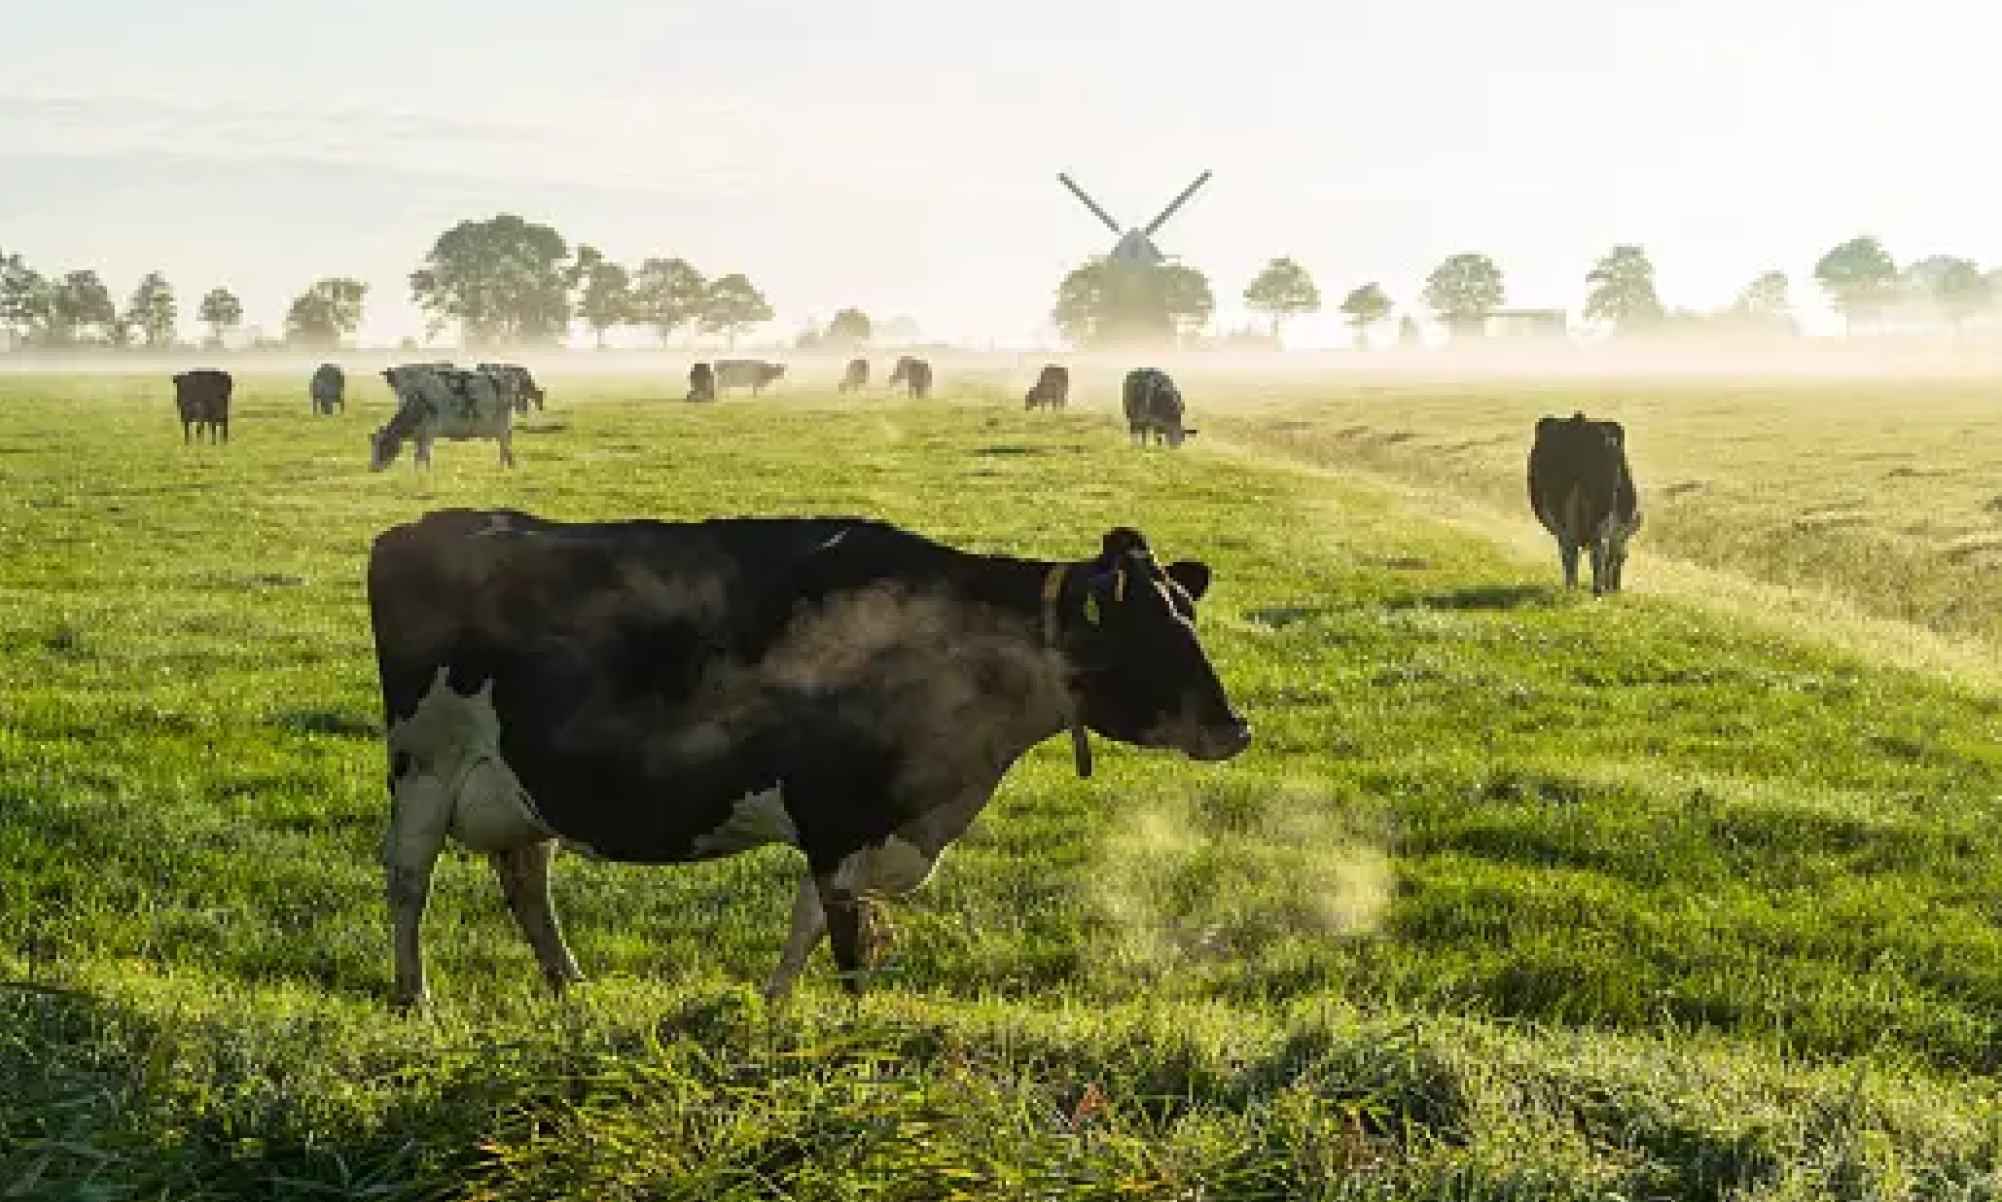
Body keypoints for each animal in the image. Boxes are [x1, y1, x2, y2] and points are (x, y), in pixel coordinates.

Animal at [368, 510, 1249, 1009]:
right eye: (1147, 632)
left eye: (1189, 616)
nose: (1235, 728)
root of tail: (423, 525)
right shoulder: (838, 811)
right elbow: (848, 943)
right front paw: (854, 1038)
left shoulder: (861, 826)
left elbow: (810, 927)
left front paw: (775, 1010)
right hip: (425, 763)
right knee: (410, 880)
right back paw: (417, 1000)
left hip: (521, 781)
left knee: (525, 877)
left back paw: (569, 988)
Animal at [372, 360, 516, 468]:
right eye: (374, 447)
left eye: (383, 446)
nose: (372, 468)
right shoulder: (420, 436)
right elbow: (424, 456)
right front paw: (426, 473)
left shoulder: (429, 433)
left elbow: (420, 456)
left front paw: (418, 474)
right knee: (505, 449)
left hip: (502, 429)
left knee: (504, 449)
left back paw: (501, 469)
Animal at [1529, 412, 1641, 596]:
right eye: (1625, 559)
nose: (1616, 589)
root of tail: (1579, 420)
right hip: (1597, 507)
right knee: (1593, 547)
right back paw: (1593, 590)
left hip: (1563, 504)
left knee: (1571, 547)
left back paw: (1574, 587)